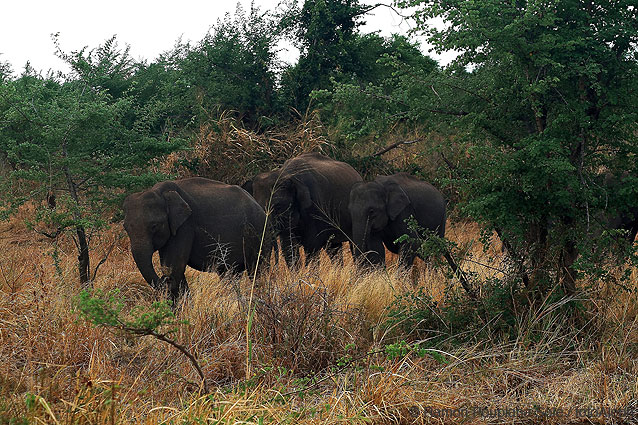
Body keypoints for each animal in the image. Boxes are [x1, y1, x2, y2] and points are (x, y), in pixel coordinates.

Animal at [124, 177, 272, 300]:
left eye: (154, 226)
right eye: (125, 228)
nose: (163, 280)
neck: (159, 191)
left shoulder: (185, 226)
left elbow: (174, 267)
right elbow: (173, 267)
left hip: (260, 233)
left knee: (257, 270)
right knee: (230, 274)